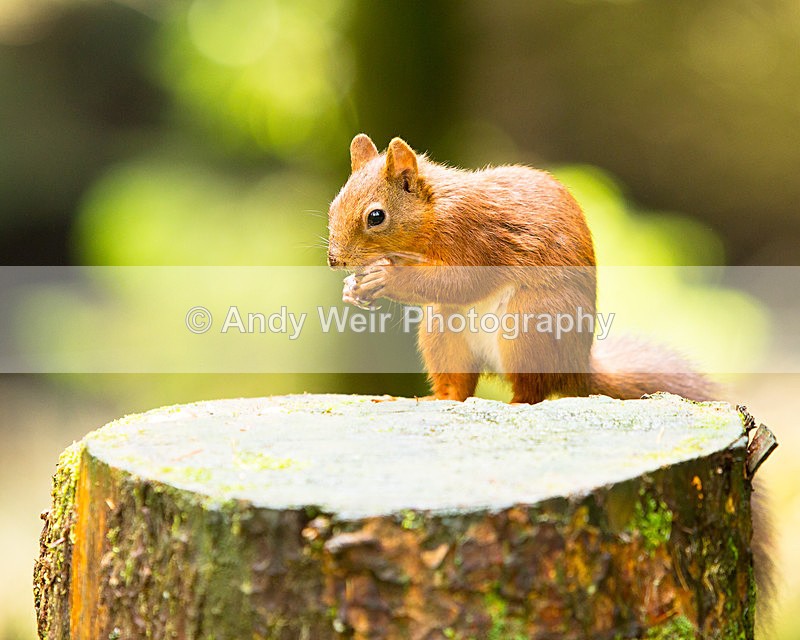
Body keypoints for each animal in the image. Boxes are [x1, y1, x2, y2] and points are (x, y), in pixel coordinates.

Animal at [327, 134, 716, 405]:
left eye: (376, 216)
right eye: (334, 205)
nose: (334, 259)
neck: (435, 212)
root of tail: (576, 366)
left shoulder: (475, 237)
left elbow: (458, 282)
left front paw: (386, 277)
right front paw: (354, 288)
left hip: (529, 325)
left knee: (532, 392)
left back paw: (515, 404)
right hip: (442, 331)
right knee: (459, 386)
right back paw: (433, 399)